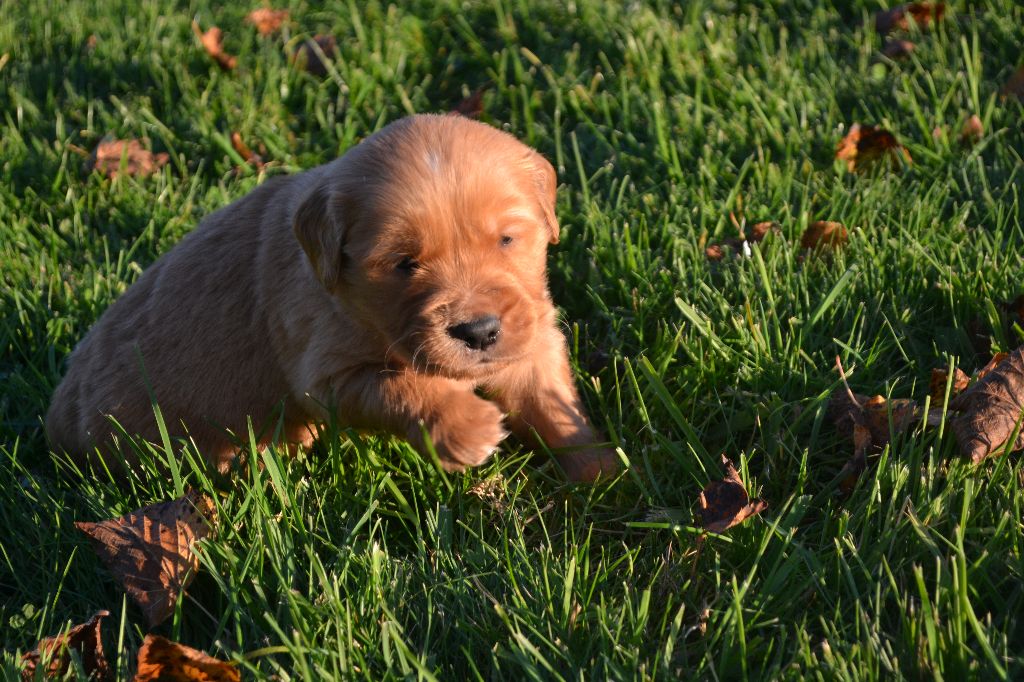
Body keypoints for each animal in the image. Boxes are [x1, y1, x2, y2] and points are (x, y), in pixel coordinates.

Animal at [46, 112, 614, 477]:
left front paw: (601, 472)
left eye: (507, 240)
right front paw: (466, 427)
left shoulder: (532, 329)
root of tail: (59, 414)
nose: (478, 331)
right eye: (404, 263)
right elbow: (404, 387)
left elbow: (552, 400)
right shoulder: (326, 371)